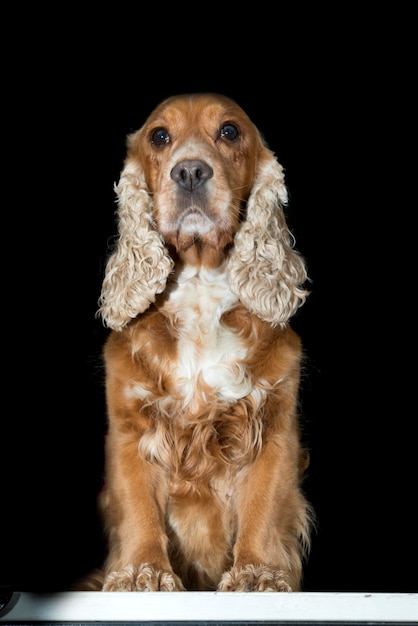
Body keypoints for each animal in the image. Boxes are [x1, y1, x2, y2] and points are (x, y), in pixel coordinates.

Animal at [90, 91, 314, 588]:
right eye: (160, 136)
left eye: (229, 131)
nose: (190, 171)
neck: (199, 288)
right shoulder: (130, 426)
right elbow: (138, 508)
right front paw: (143, 571)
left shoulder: (274, 425)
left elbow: (264, 508)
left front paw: (257, 572)